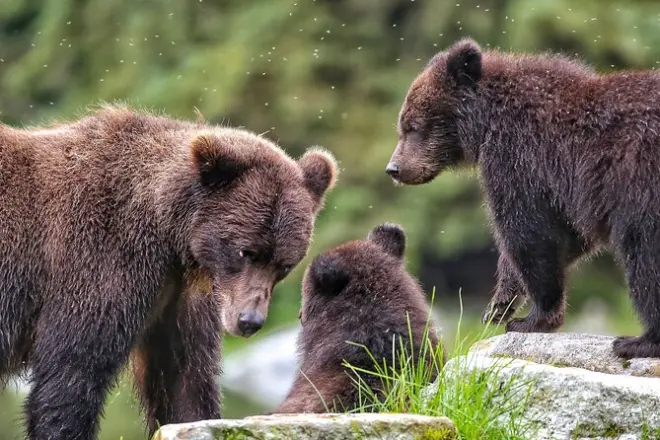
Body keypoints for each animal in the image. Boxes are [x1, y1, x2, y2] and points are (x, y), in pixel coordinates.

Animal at [0, 104, 337, 440]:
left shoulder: (178, 297)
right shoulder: (97, 258)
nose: (249, 320)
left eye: (284, 264)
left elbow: (184, 378)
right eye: (246, 251)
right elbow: (73, 369)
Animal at [385, 37, 660, 360]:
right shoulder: (564, 191)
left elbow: (529, 232)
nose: (394, 168)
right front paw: (499, 305)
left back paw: (636, 341)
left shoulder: (520, 159)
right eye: (403, 125)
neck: (486, 125)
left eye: (412, 125)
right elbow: (566, 236)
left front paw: (530, 318)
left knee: (644, 257)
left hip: (641, 186)